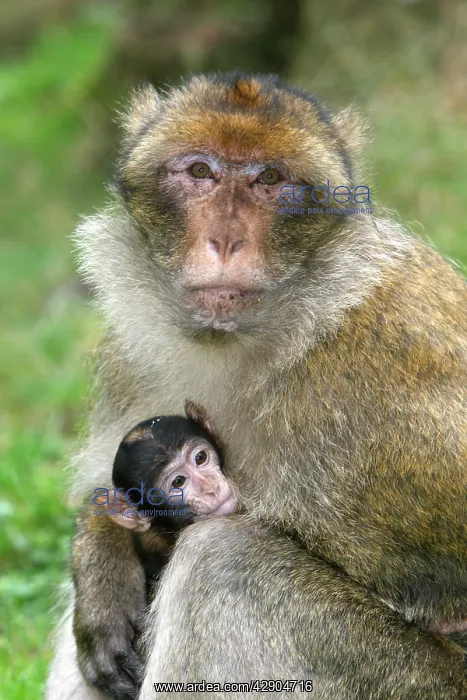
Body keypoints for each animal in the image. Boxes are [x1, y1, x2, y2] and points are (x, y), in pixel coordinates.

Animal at [45, 72, 467, 700]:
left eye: (269, 179)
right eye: (200, 171)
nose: (225, 240)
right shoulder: (132, 360)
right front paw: (102, 557)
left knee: (225, 561)